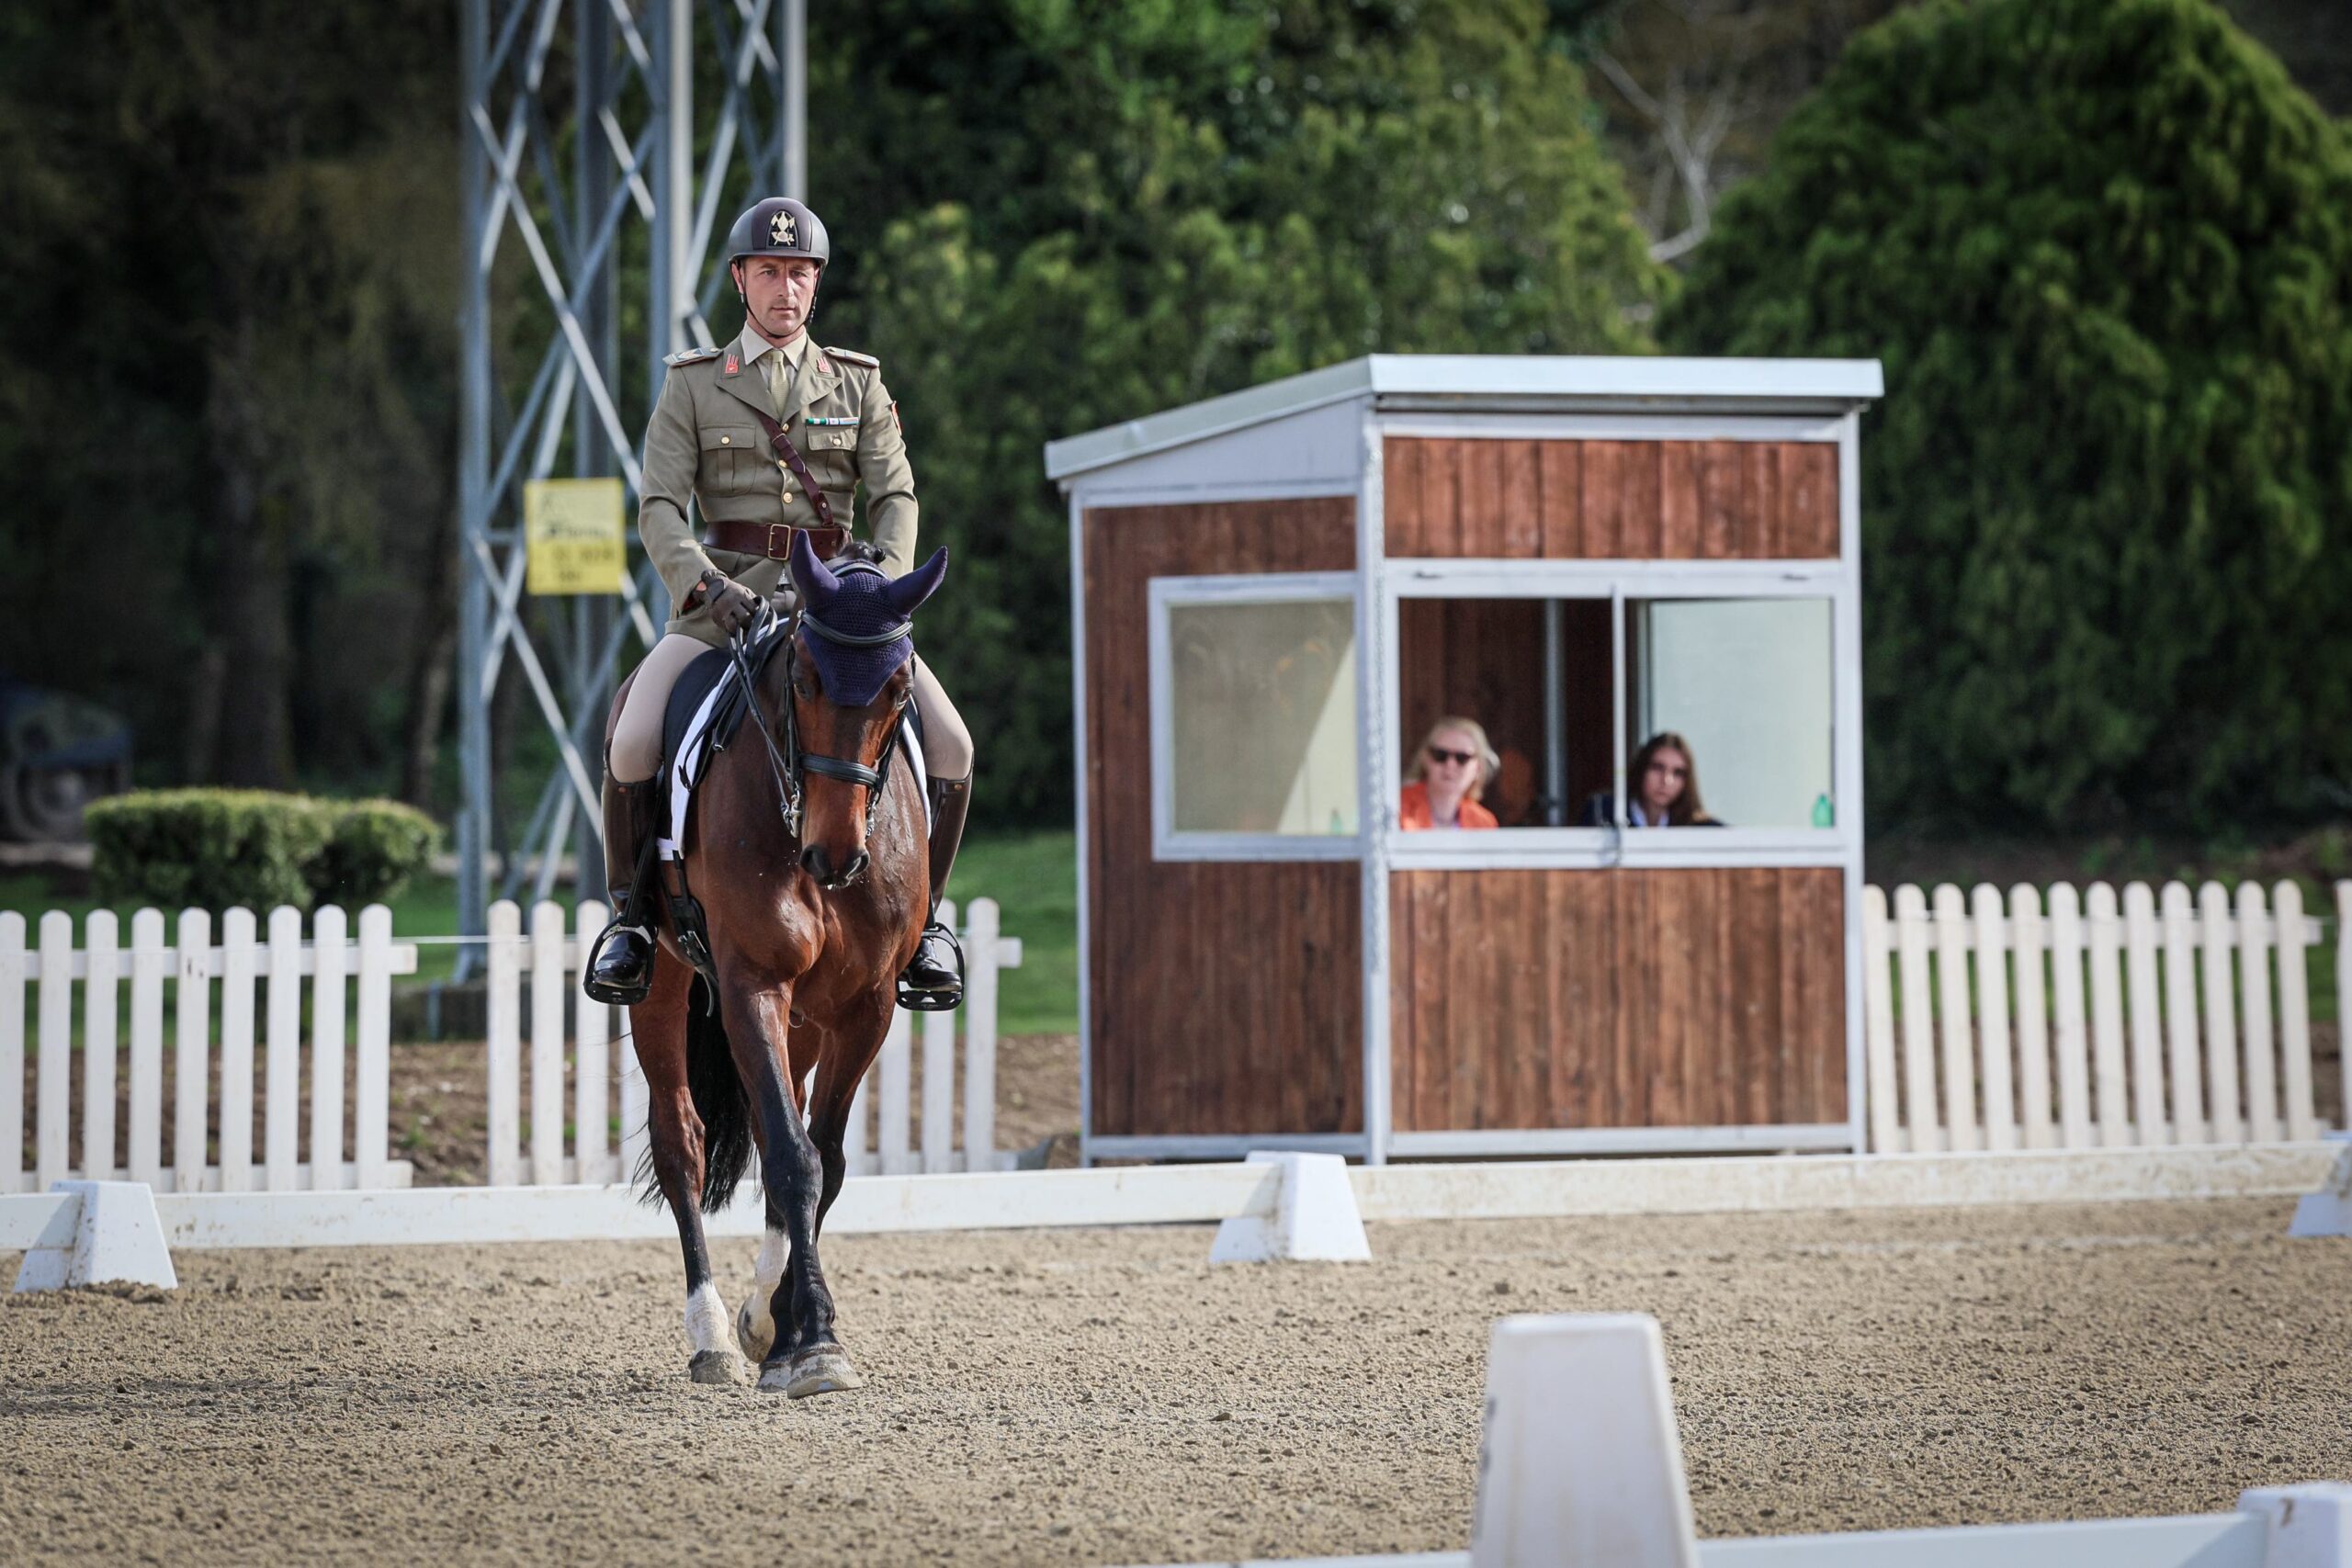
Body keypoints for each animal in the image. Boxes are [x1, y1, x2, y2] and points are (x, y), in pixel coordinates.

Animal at [608, 531, 947, 1396]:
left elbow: (821, 1158)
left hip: (806, 1018)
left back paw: (760, 1315)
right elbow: (796, 1159)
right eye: (803, 678)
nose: (835, 855)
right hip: (666, 982)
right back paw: (710, 1337)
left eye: (899, 688)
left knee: (773, 1120)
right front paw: (813, 1339)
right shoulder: (751, 982)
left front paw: (791, 1325)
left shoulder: (865, 1007)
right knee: (683, 1141)